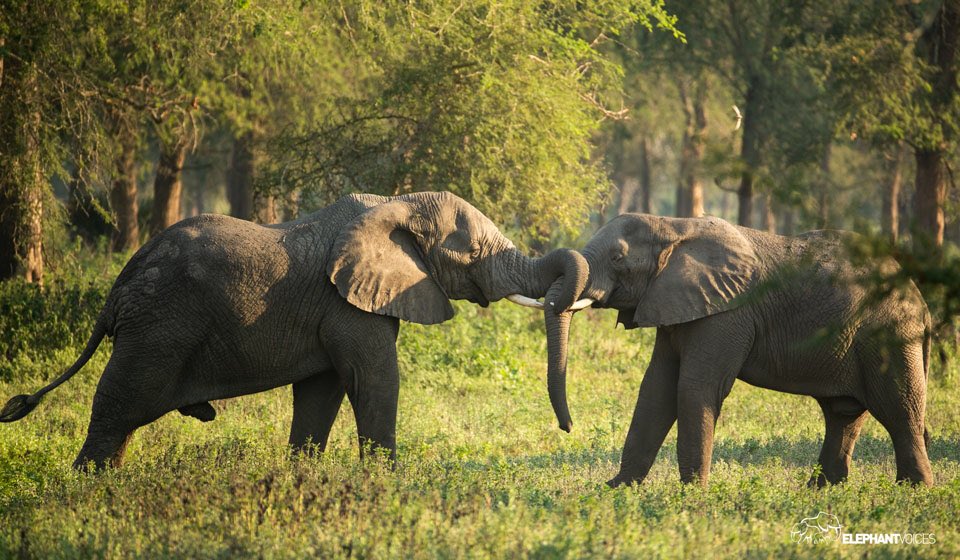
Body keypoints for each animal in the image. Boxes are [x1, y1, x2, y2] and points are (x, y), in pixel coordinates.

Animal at [0, 191, 587, 470]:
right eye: (472, 251)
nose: (568, 429)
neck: (394, 202)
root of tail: (117, 290)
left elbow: (321, 393)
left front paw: (301, 479)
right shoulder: (348, 305)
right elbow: (375, 380)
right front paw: (387, 483)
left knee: (121, 418)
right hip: (158, 327)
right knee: (118, 406)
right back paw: (90, 494)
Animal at [536, 213, 934, 487]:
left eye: (618, 258)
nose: (568, 427)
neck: (674, 227)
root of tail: (922, 302)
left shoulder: (727, 313)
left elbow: (694, 389)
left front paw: (690, 495)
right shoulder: (673, 302)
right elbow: (655, 390)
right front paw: (615, 489)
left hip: (891, 336)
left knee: (899, 410)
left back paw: (911, 491)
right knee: (844, 414)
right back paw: (821, 491)